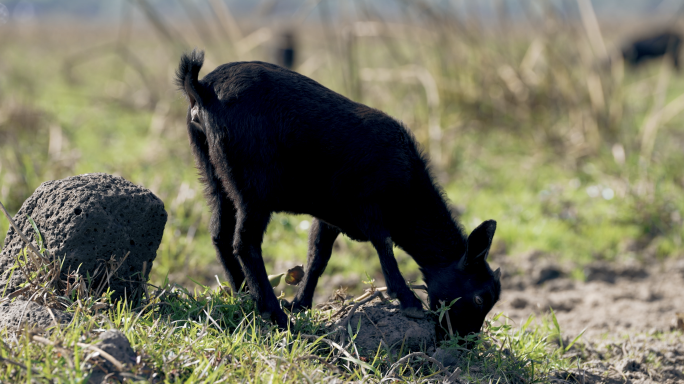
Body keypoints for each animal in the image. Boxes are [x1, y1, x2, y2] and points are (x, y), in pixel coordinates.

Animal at [176, 51, 502, 336]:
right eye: (479, 298)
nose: (463, 342)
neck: (408, 189)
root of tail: (202, 88)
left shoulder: (330, 215)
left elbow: (318, 256)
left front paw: (301, 303)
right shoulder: (366, 205)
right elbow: (384, 247)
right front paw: (409, 302)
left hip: (214, 174)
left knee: (219, 234)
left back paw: (245, 297)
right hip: (253, 186)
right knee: (244, 243)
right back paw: (274, 315)